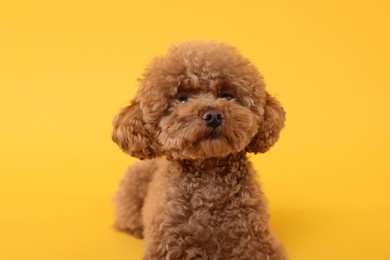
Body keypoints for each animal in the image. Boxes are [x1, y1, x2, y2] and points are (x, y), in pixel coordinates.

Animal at [111, 41, 284, 260]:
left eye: (227, 95)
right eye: (182, 99)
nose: (213, 115)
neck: (209, 177)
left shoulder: (256, 241)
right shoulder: (168, 245)